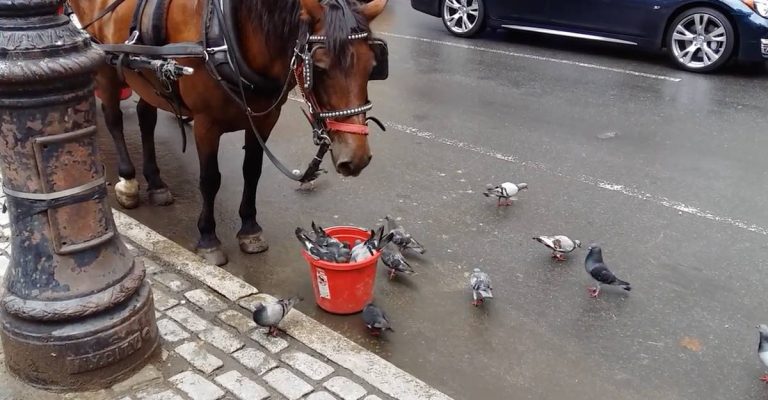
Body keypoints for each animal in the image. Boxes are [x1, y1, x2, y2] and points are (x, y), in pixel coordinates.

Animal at [67, 0, 388, 265]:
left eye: (373, 65)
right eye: (318, 67)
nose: (356, 158)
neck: (226, 39)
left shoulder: (265, 119)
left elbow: (253, 171)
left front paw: (249, 228)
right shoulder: (206, 124)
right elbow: (210, 180)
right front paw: (208, 238)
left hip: (149, 78)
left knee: (146, 119)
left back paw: (156, 183)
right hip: (106, 66)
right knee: (114, 120)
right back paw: (128, 181)